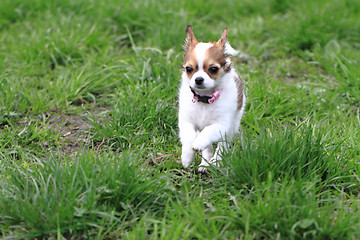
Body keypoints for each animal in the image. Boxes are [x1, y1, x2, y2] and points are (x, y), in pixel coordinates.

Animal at [179, 24, 246, 172]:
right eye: (189, 69)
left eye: (213, 69)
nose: (198, 79)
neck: (205, 98)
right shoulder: (186, 122)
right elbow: (189, 137)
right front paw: (187, 157)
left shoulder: (222, 125)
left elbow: (208, 131)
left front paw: (199, 142)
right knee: (208, 148)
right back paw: (205, 164)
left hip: (233, 126)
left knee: (222, 146)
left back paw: (215, 162)